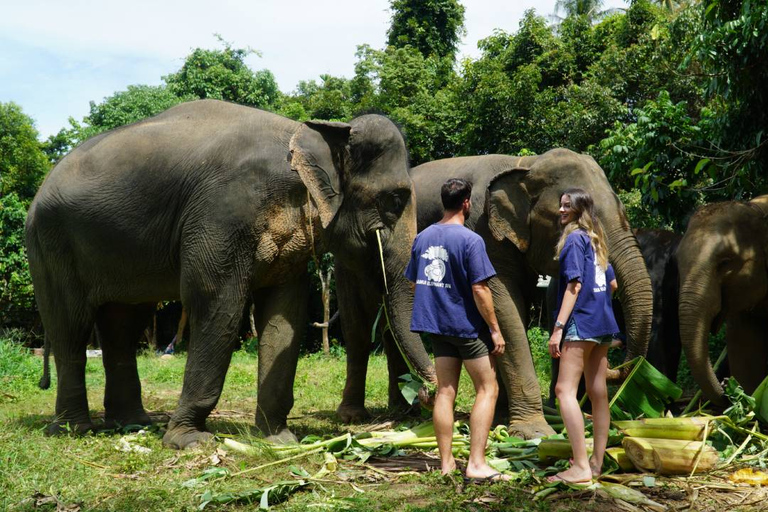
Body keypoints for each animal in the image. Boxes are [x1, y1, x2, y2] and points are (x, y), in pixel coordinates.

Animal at [26, 99, 436, 449]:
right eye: (395, 200)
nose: (427, 396)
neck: (306, 134)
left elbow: (285, 314)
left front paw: (278, 440)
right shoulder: (223, 211)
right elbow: (216, 302)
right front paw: (190, 441)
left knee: (123, 324)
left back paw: (133, 424)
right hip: (51, 244)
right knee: (71, 327)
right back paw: (73, 430)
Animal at [410, 149, 653, 439]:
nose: (613, 367)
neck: (525, 165)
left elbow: (518, 311)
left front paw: (505, 420)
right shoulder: (484, 231)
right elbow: (504, 307)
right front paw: (535, 433)